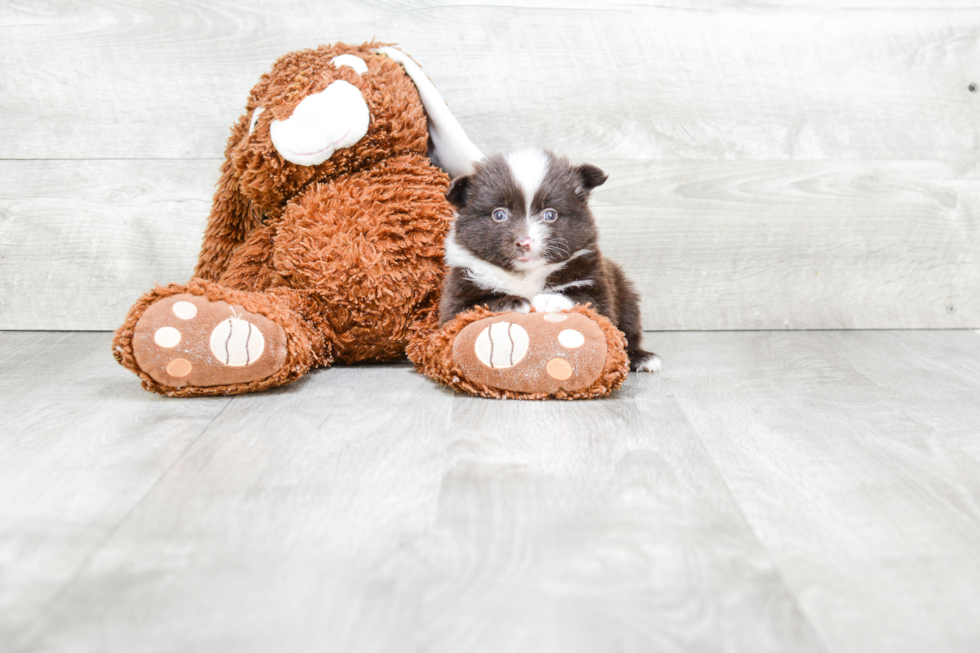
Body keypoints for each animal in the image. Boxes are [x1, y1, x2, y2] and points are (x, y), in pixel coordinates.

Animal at [442, 148, 660, 372]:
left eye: (550, 215)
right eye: (499, 214)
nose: (524, 242)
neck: (526, 274)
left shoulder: (594, 282)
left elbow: (587, 301)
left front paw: (549, 299)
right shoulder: (458, 294)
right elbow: (472, 307)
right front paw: (509, 302)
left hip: (625, 294)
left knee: (627, 331)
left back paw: (641, 357)